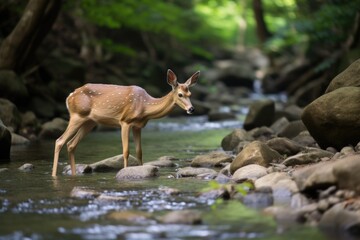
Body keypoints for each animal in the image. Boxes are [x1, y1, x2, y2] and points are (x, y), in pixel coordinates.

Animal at [52, 69, 200, 176]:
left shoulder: (138, 127)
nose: (191, 109)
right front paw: (124, 171)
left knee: (71, 144)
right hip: (77, 115)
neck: (145, 107)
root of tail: (69, 96)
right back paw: (54, 175)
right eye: (180, 94)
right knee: (60, 140)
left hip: (89, 122)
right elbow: (126, 151)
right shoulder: (125, 121)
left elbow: (139, 151)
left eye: (190, 94)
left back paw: (73, 174)